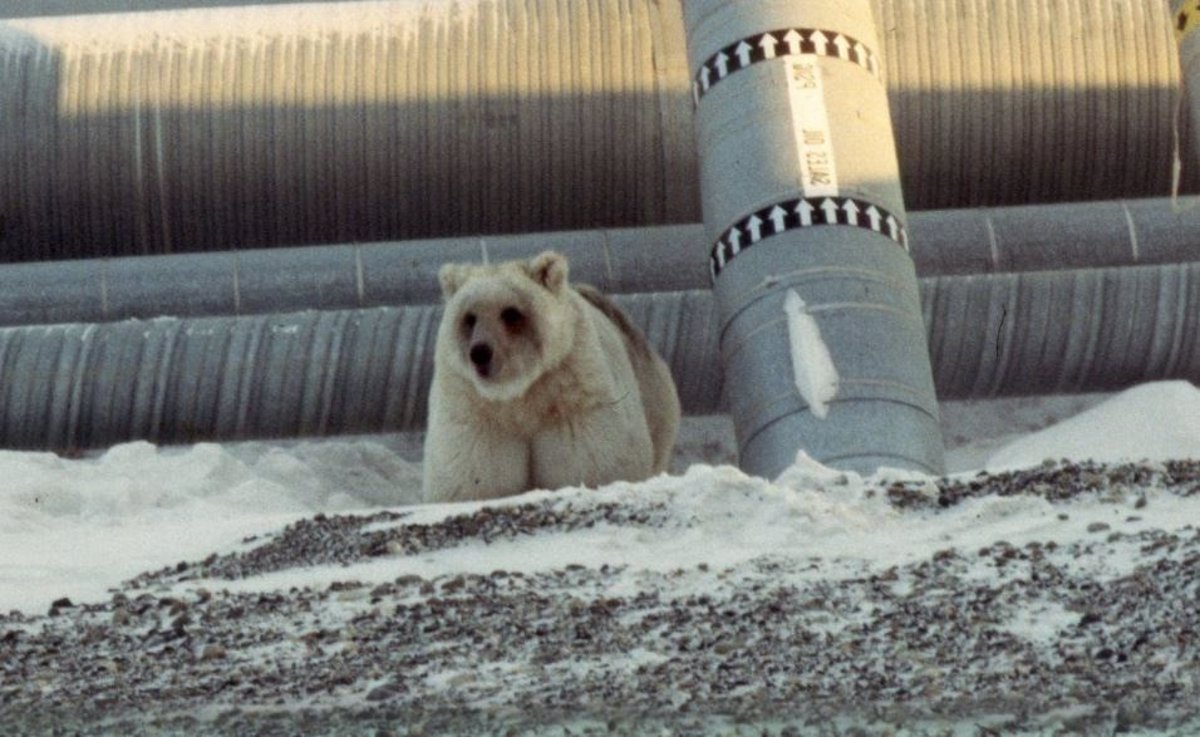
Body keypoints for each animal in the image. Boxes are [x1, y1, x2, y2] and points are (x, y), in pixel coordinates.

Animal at [422, 250, 681, 506]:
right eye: (469, 317)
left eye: (510, 312)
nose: (480, 352)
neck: (518, 391)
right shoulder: (473, 406)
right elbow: (474, 473)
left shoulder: (574, 390)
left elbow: (591, 461)